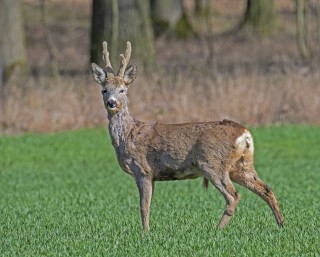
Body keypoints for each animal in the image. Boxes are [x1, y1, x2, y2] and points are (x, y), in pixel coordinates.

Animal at [91, 41, 284, 230]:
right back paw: (281, 224)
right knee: (266, 189)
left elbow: (144, 206)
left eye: (122, 90)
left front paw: (145, 233)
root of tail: (244, 133)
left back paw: (217, 230)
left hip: (213, 163)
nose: (111, 103)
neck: (127, 136)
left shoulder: (143, 170)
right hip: (242, 165)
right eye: (104, 90)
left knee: (234, 196)